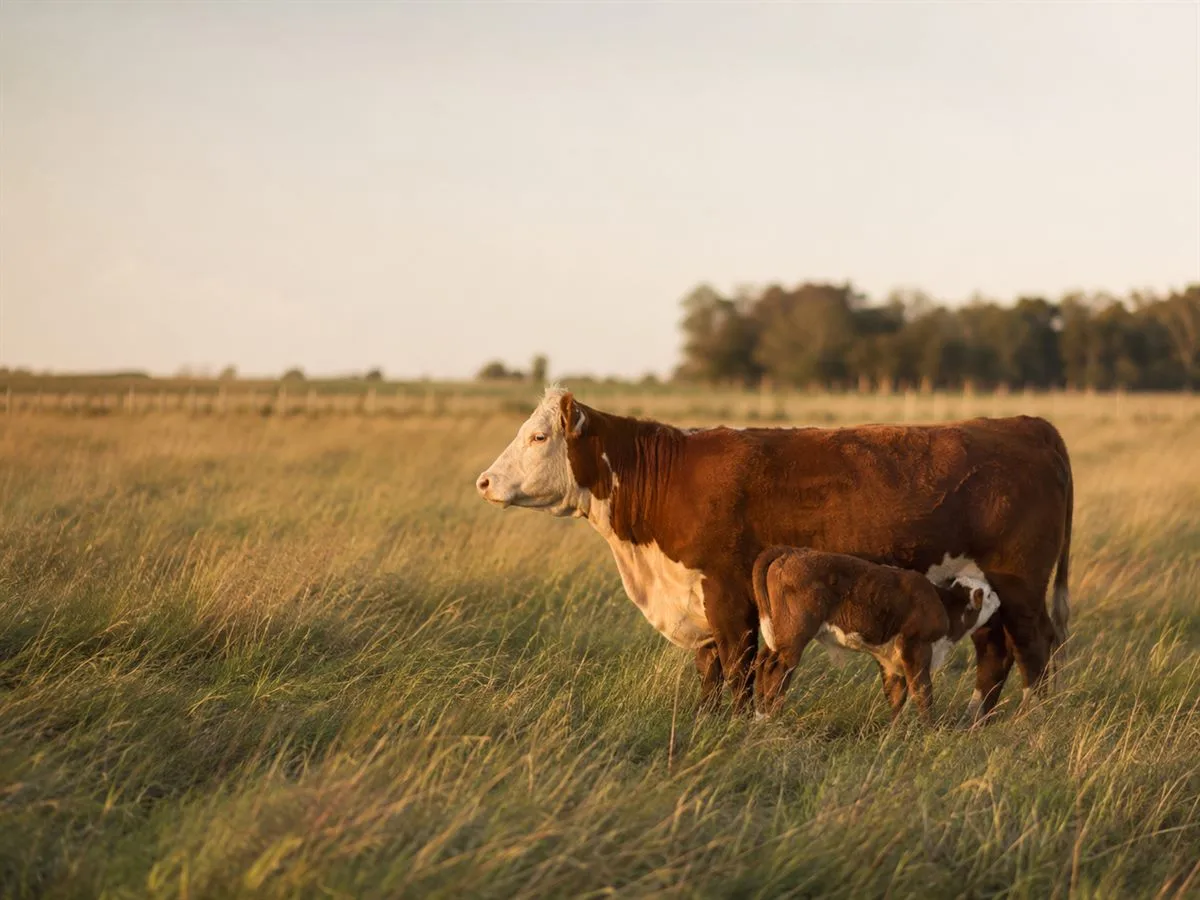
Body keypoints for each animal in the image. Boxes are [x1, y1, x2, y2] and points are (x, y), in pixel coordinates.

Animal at [751, 546, 1001, 722]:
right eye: (988, 594)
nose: (998, 598)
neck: (944, 606)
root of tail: (791, 552)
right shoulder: (915, 647)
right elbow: (922, 691)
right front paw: (928, 727)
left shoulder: (890, 659)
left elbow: (896, 695)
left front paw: (893, 730)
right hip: (795, 635)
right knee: (777, 669)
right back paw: (773, 714)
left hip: (778, 633)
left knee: (762, 661)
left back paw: (761, 715)